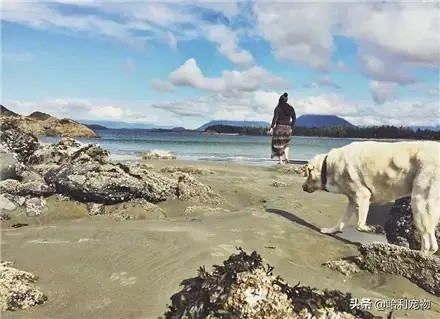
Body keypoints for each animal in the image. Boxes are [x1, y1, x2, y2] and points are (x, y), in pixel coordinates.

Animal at [302, 141, 440, 256]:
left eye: (308, 173)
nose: (303, 187)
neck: (328, 166)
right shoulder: (352, 200)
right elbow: (342, 221)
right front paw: (330, 230)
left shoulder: (363, 195)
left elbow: (359, 225)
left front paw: (374, 228)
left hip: (419, 203)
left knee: (430, 243)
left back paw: (416, 255)